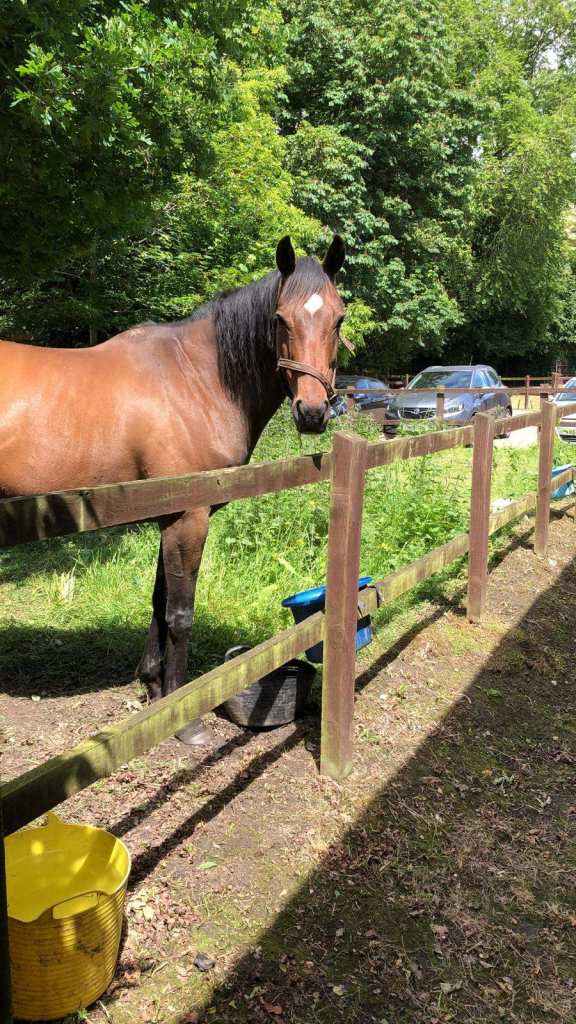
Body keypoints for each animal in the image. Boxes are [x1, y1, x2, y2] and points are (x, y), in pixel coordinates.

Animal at [0, 235, 347, 744]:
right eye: (280, 318)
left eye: (338, 318)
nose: (313, 412)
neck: (196, 379)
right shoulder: (189, 518)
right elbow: (180, 614)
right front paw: (186, 718)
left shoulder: (169, 517)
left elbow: (158, 601)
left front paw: (154, 687)